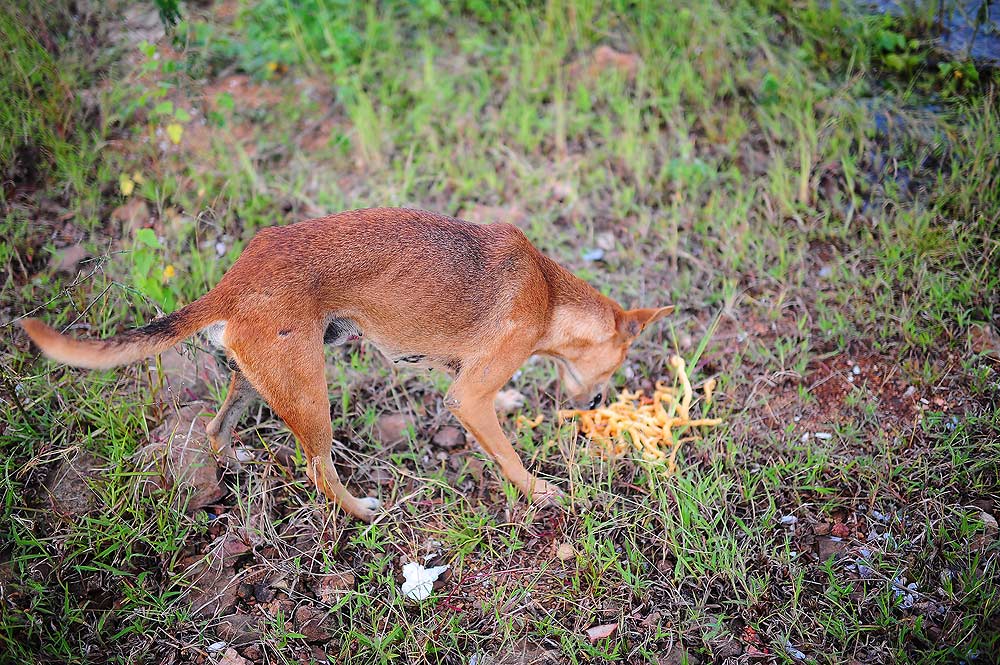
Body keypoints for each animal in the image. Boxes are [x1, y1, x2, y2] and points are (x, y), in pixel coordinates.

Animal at [19, 208, 672, 520]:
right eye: (617, 367)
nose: (593, 404)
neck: (550, 294)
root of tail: (234, 281)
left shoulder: (465, 376)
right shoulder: (467, 397)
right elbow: (508, 457)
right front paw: (542, 493)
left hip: (259, 380)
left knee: (213, 428)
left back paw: (235, 460)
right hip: (311, 395)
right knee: (318, 471)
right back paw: (362, 512)